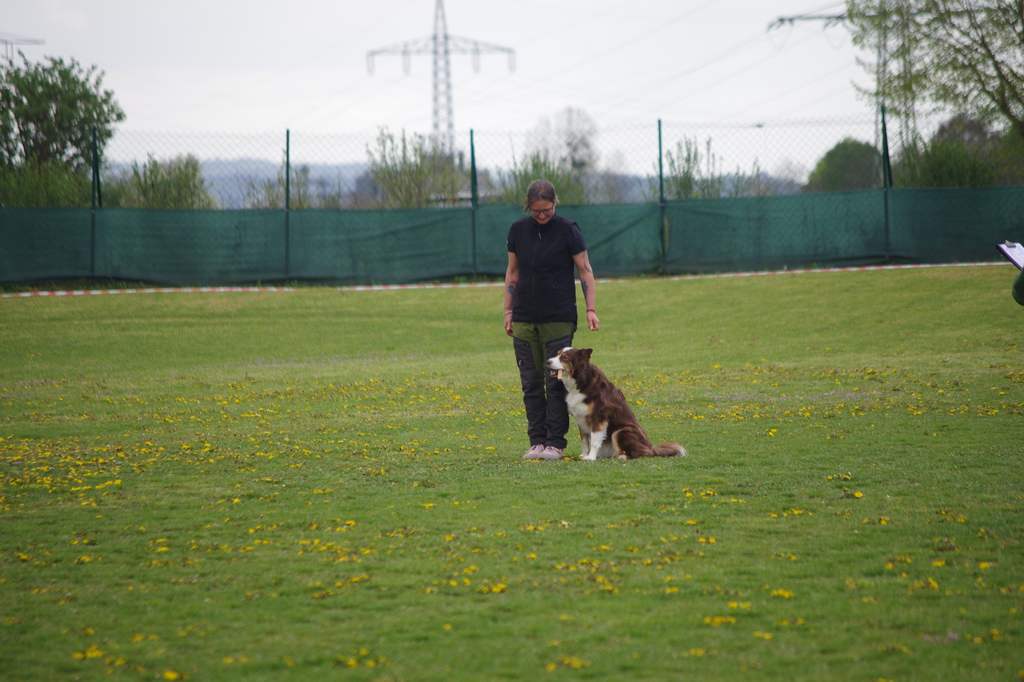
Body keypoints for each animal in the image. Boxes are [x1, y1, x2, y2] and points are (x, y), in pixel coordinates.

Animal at [546, 347, 686, 460]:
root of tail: (651, 447)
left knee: (640, 453)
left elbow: (595, 440)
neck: (581, 382)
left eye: (564, 358)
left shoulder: (599, 416)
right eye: (557, 354)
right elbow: (584, 440)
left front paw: (591, 457)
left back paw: (622, 456)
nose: (547, 362)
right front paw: (584, 455)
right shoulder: (580, 417)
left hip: (621, 431)